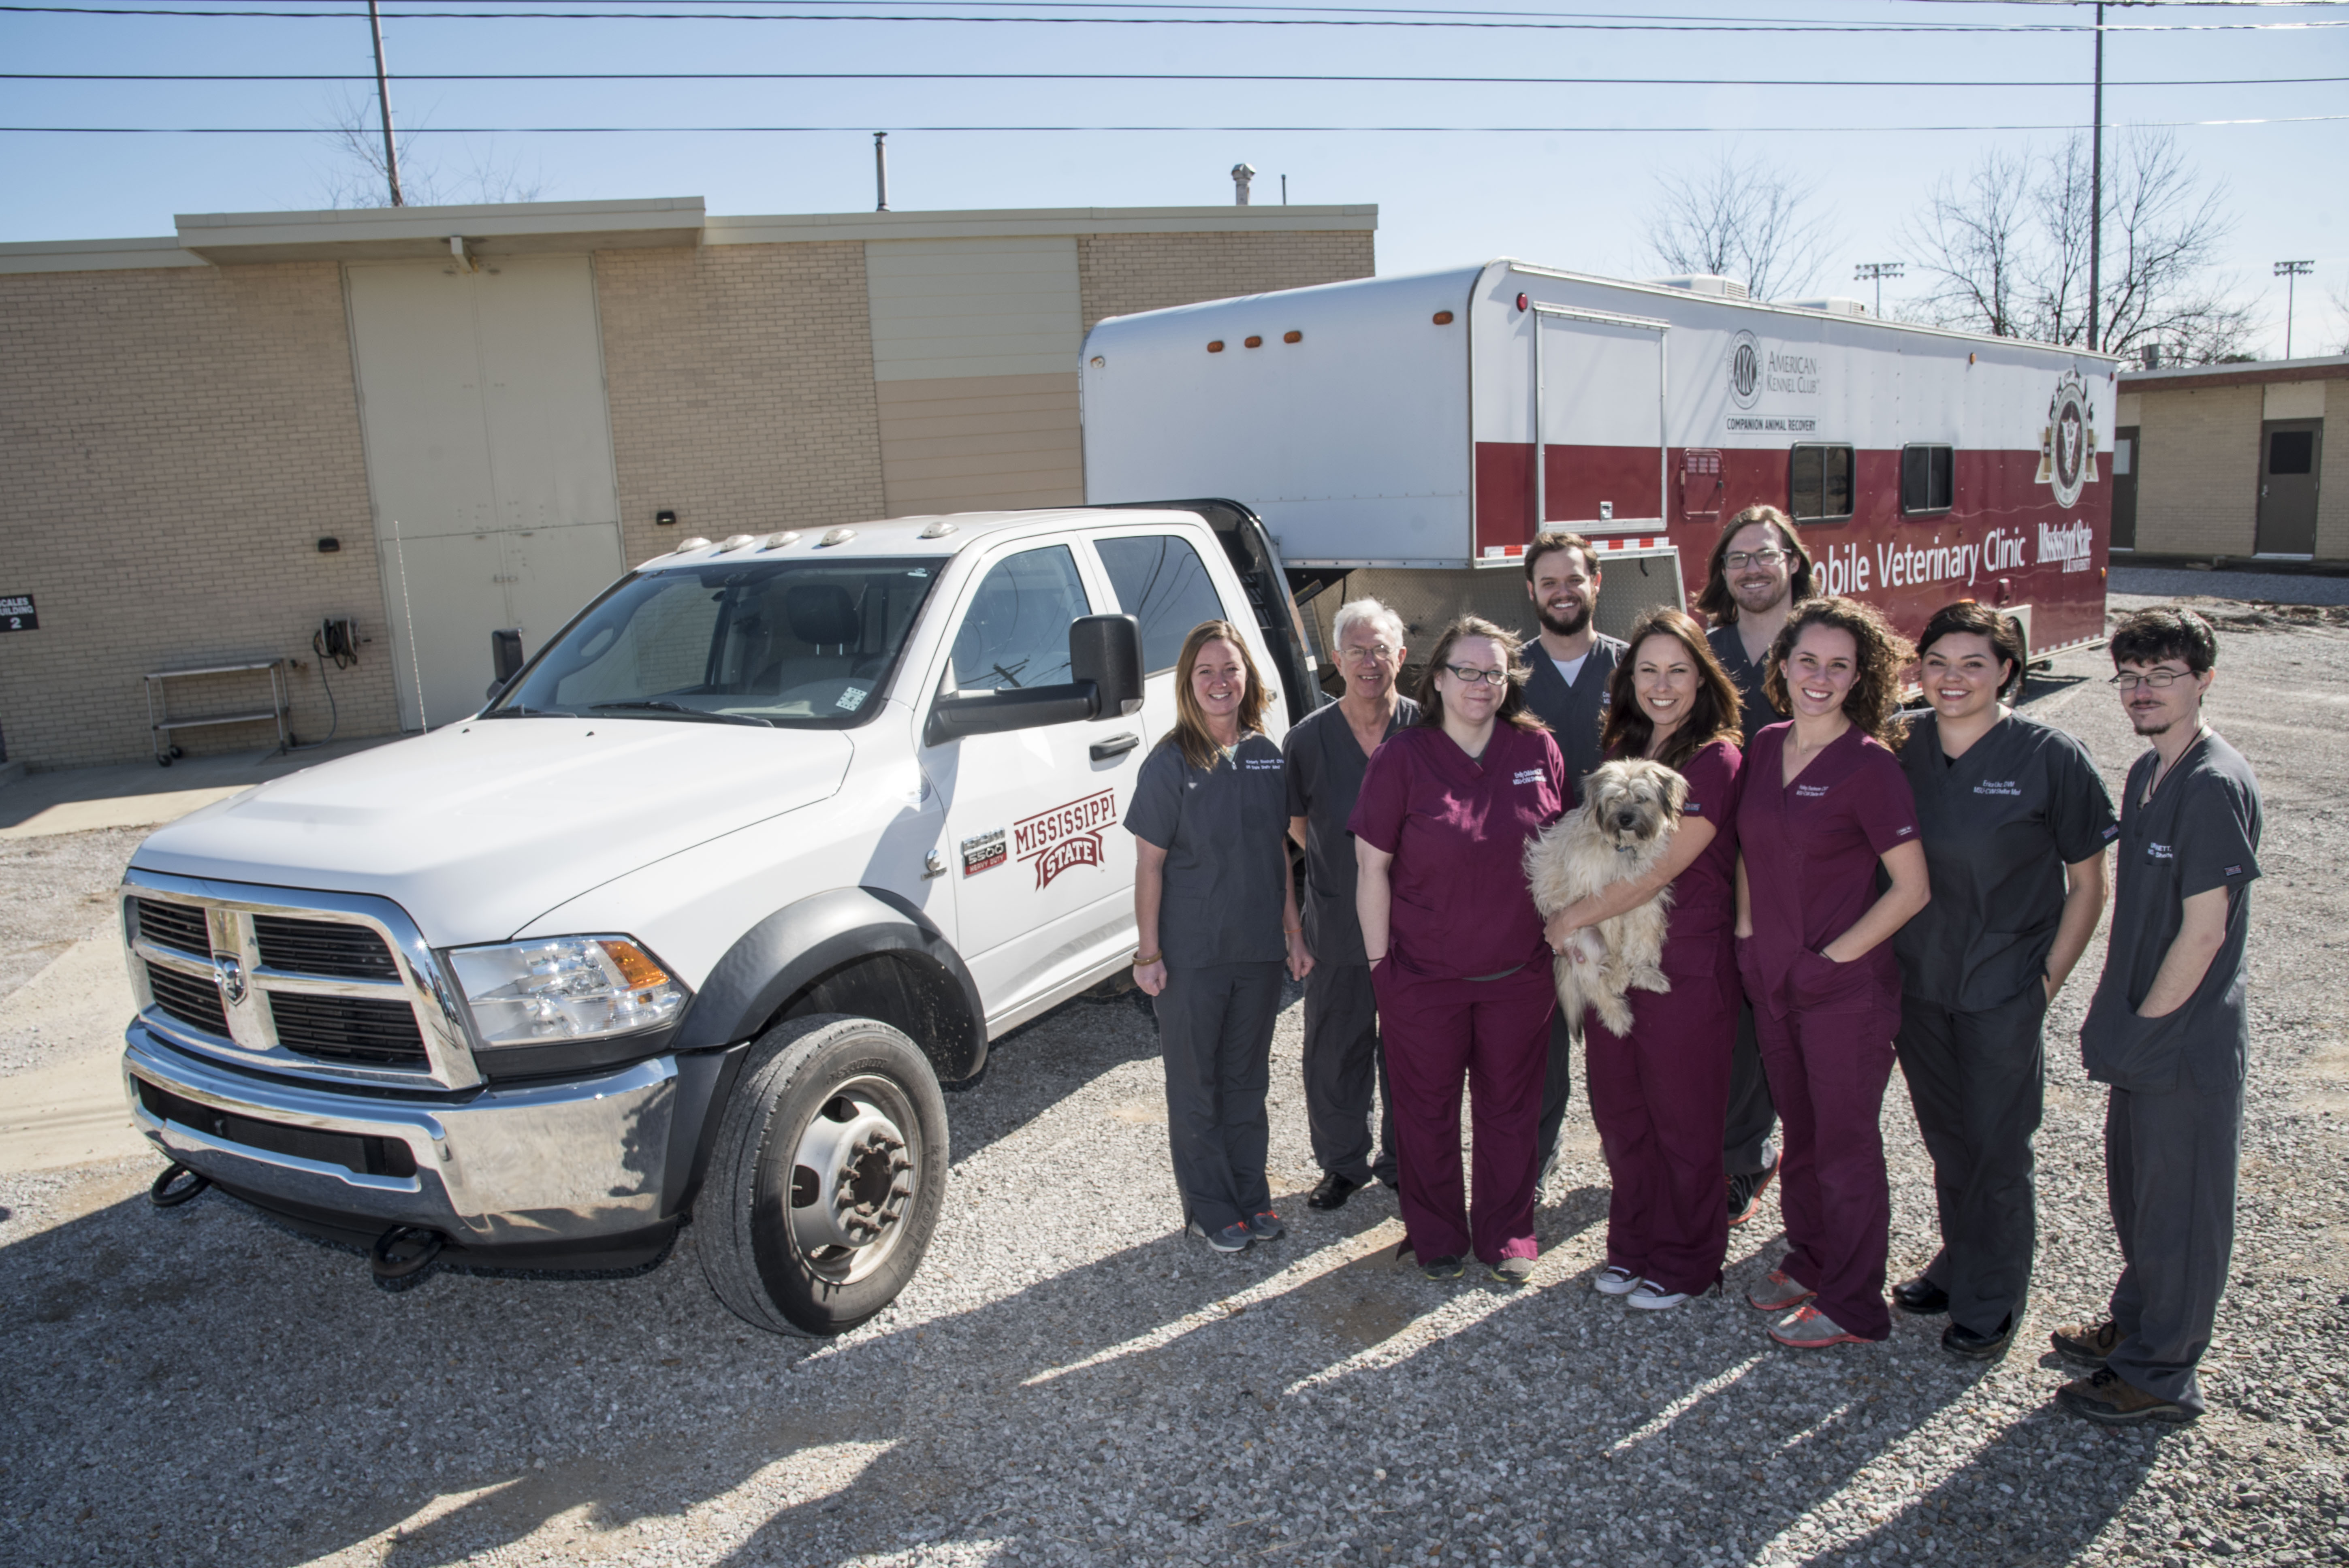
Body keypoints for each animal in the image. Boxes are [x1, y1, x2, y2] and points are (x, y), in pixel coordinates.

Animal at [1522, 760, 1691, 1042]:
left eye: (1642, 798)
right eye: (1614, 799)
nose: (1625, 819)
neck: (1623, 848)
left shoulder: (1643, 892)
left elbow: (1643, 935)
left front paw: (1642, 968)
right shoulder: (1597, 895)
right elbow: (1614, 942)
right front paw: (1619, 975)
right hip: (1584, 942)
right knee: (1593, 985)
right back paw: (1617, 1016)